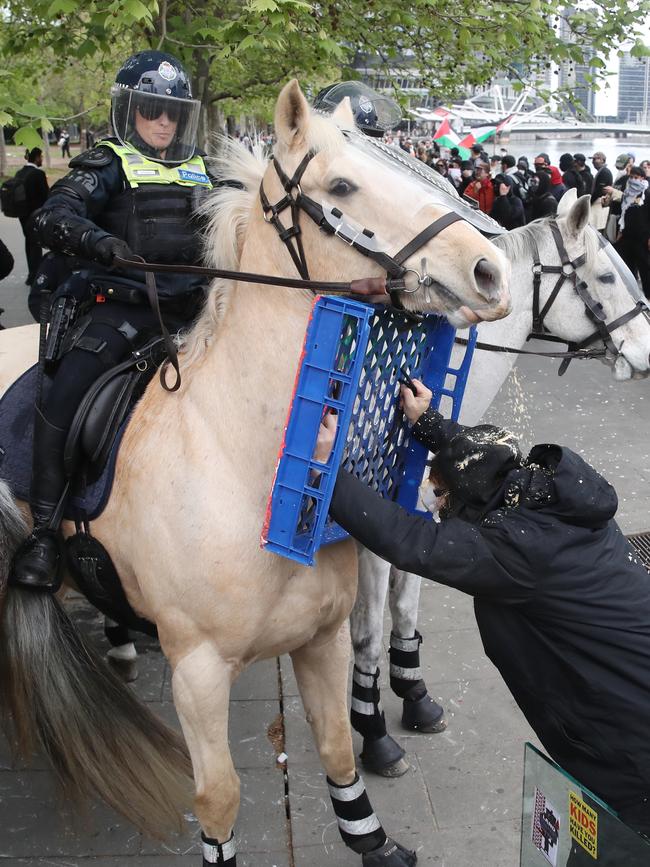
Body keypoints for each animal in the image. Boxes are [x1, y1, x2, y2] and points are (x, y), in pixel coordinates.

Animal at [0, 79, 508, 860]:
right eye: (342, 185)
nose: (489, 269)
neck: (239, 466)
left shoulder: (321, 640)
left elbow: (338, 748)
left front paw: (371, 837)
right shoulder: (199, 671)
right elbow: (218, 798)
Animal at [352, 188, 650, 772]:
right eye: (606, 276)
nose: (648, 350)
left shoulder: (415, 512)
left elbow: (404, 600)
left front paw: (410, 691)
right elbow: (368, 631)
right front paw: (371, 726)